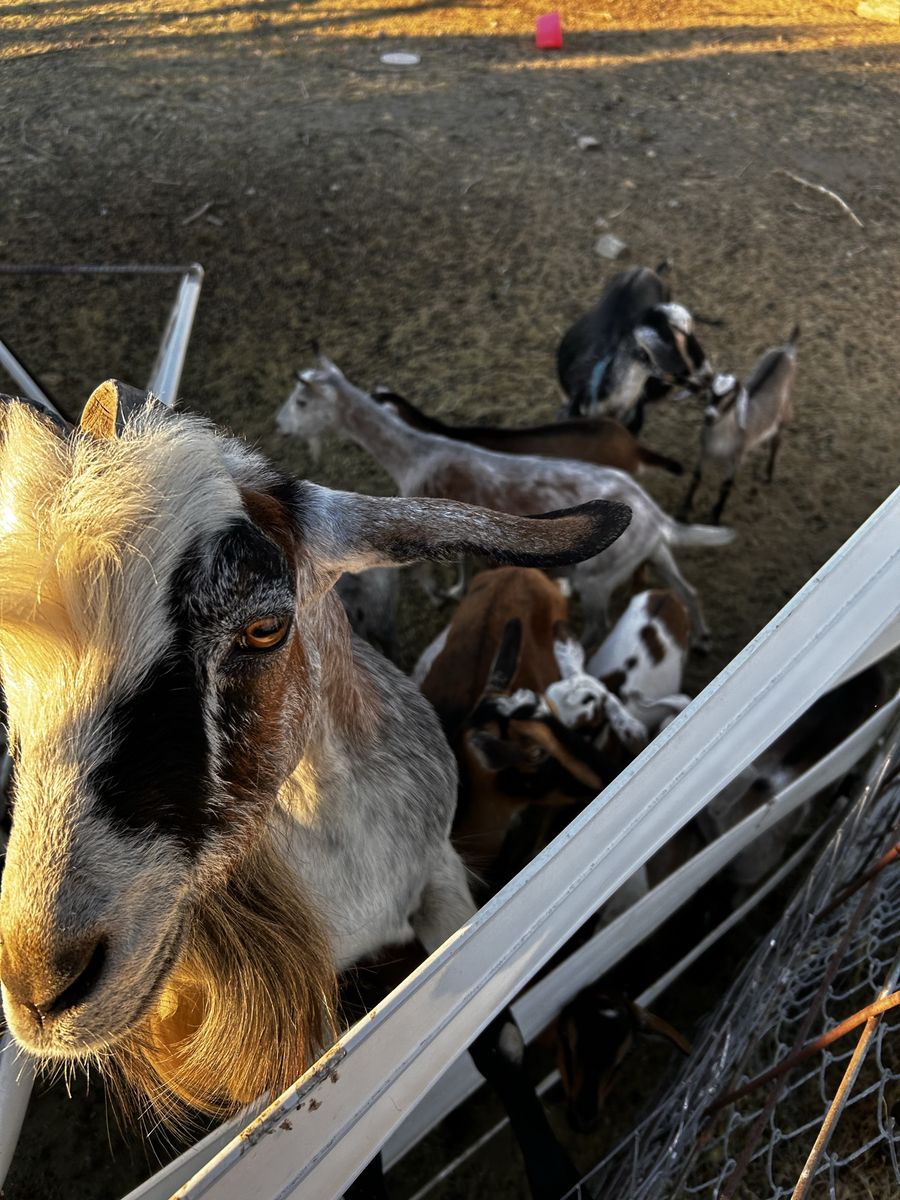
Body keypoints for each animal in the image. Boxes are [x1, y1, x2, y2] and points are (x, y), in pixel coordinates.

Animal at [680, 326, 799, 524]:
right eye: (710, 391)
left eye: (731, 399)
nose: (709, 416)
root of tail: (786, 351)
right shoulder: (705, 451)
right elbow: (697, 477)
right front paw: (685, 510)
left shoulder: (736, 458)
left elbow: (726, 486)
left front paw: (715, 518)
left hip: (786, 414)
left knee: (777, 441)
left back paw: (768, 474)